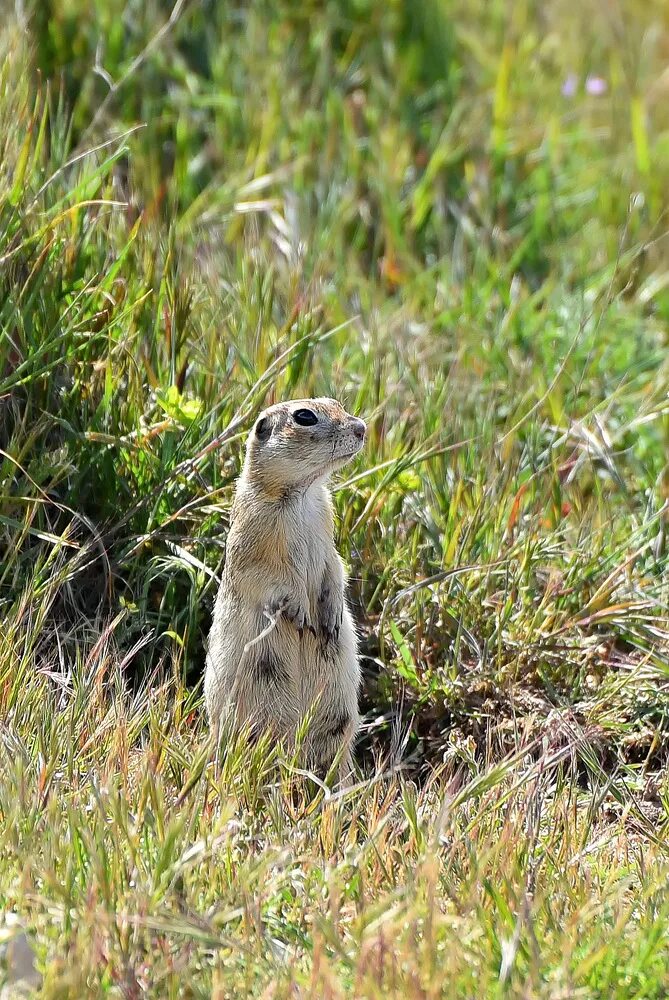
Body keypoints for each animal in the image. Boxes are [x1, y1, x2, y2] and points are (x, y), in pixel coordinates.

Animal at [204, 396, 366, 780]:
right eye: (304, 416)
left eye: (336, 403)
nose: (362, 428)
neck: (304, 493)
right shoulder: (253, 538)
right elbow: (271, 578)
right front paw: (303, 615)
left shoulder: (327, 532)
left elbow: (335, 568)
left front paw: (332, 617)